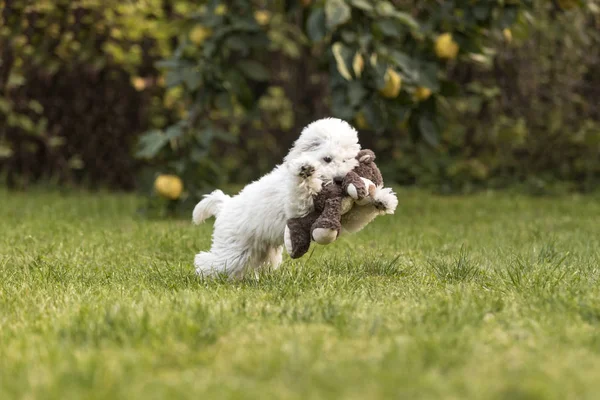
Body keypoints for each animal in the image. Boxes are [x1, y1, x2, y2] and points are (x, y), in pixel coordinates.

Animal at [192, 117, 360, 276]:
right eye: (327, 159)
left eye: (346, 160)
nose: (339, 179)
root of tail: (225, 205)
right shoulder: (296, 205)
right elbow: (303, 191)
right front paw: (305, 169)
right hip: (233, 249)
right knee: (208, 262)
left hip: (260, 252)